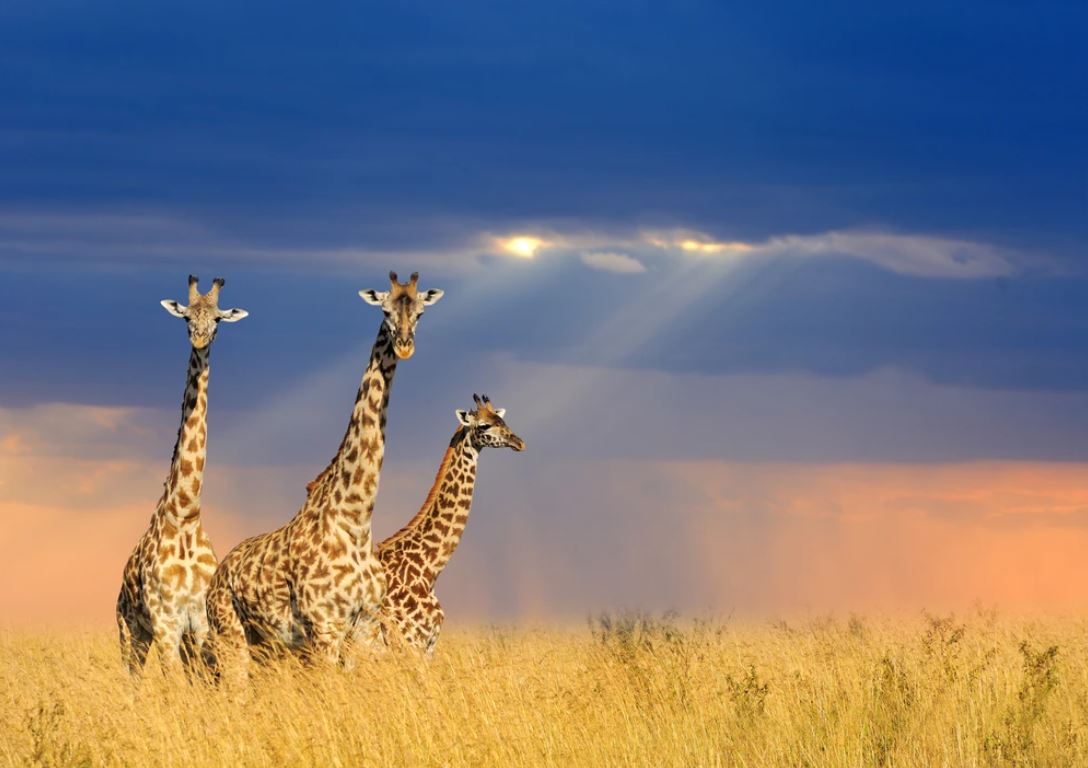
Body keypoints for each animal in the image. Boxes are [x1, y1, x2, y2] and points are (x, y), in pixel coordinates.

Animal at [116, 275, 248, 675]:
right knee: (131, 676)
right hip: (130, 630)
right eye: (187, 316)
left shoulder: (200, 623)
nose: (200, 339)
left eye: (218, 319)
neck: (186, 514)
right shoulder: (165, 623)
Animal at [206, 271, 443, 673]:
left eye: (421, 312)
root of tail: (217, 576)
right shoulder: (324, 627)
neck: (356, 519)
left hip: (267, 646)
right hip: (231, 635)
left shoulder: (365, 626)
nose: (405, 345)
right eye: (385, 310)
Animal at [373, 394, 524, 655]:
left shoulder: (428, 646)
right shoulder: (409, 643)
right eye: (483, 425)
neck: (429, 569)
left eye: (503, 420)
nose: (519, 442)